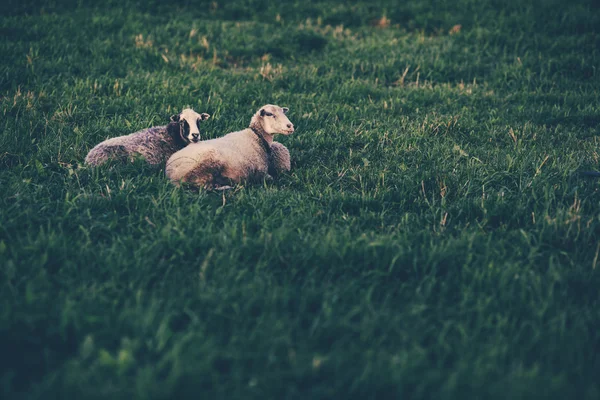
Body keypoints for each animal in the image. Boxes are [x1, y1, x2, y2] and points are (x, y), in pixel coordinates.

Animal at [165, 104, 294, 189]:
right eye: (270, 114)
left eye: (283, 112)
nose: (290, 126)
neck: (256, 137)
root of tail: (169, 170)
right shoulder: (261, 173)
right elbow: (270, 178)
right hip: (204, 165)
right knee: (203, 186)